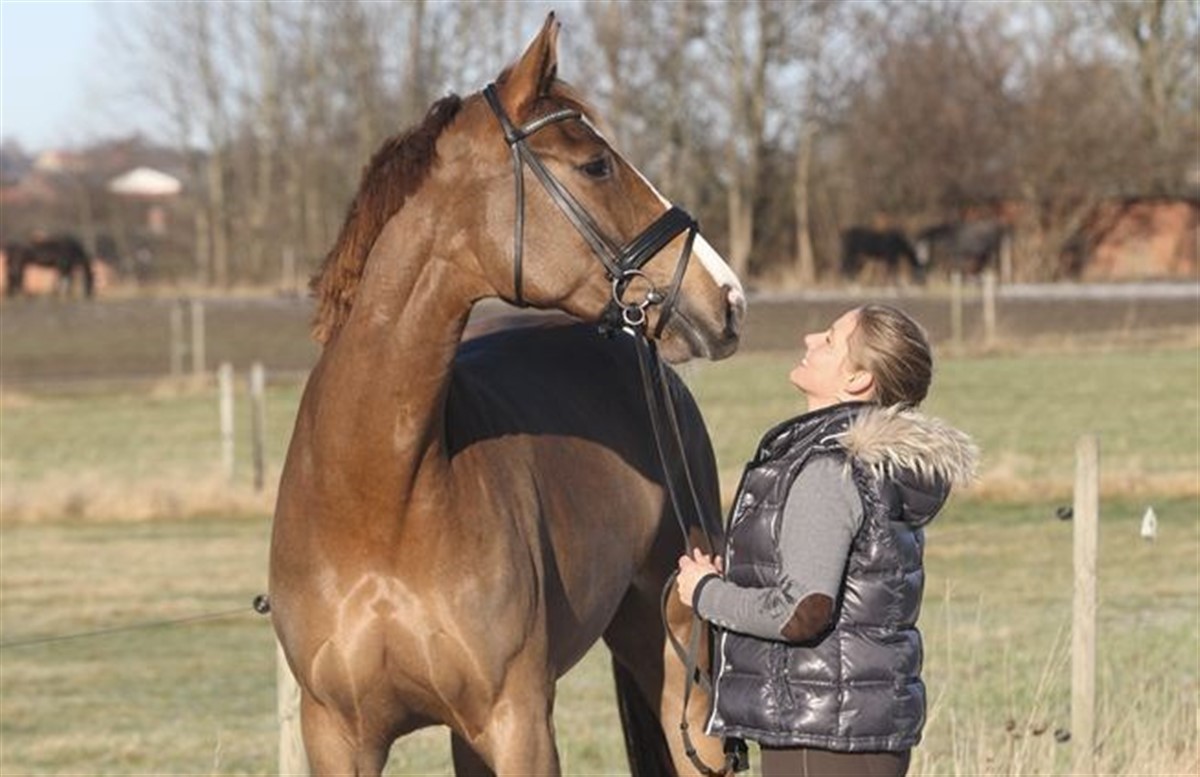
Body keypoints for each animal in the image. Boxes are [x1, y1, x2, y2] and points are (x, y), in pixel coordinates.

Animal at [269, 13, 746, 777]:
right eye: (596, 165)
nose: (727, 296)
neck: (378, 500)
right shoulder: (338, 735)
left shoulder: (517, 722)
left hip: (683, 677)